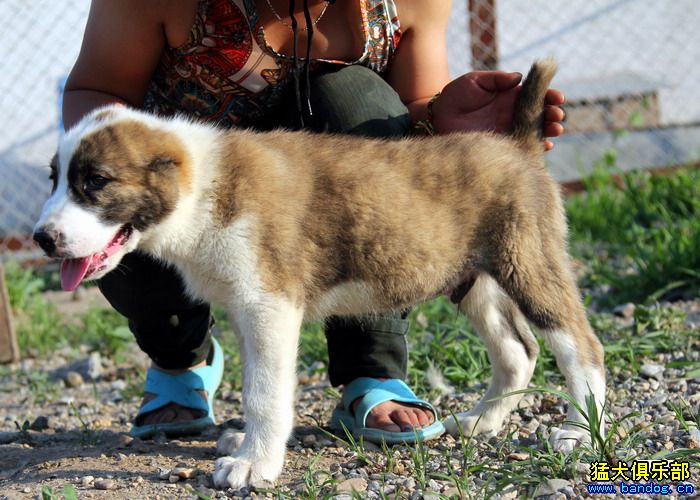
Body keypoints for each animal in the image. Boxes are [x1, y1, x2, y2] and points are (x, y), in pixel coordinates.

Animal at [32, 59, 604, 488]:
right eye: (55, 179)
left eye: (96, 181)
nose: (41, 238)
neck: (207, 184)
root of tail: (517, 145)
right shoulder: (246, 310)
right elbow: (254, 386)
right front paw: (248, 444)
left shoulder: (269, 307)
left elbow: (265, 392)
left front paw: (254, 463)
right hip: (471, 279)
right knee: (517, 350)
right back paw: (484, 420)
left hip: (527, 262)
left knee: (581, 347)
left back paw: (581, 433)